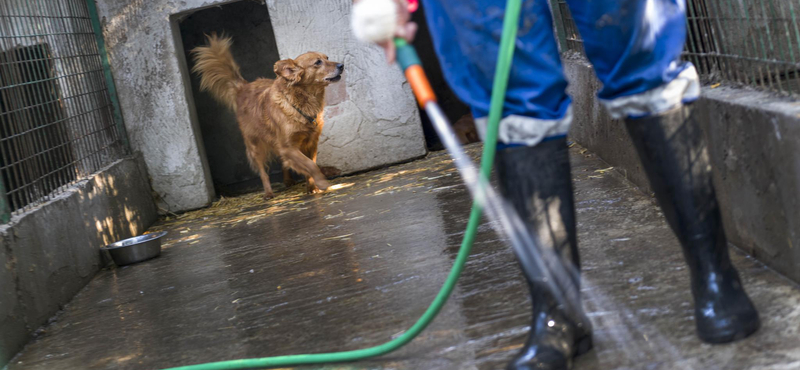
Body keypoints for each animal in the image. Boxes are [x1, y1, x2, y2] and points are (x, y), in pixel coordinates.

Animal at [193, 34, 344, 198]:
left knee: (283, 163)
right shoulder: (287, 147)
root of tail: (243, 87)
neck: (301, 103)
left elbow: (310, 165)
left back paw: (288, 180)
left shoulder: (310, 143)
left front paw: (312, 187)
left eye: (327, 57)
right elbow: (310, 165)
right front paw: (321, 182)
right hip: (255, 146)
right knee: (263, 172)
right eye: (318, 62)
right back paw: (268, 193)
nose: (342, 65)